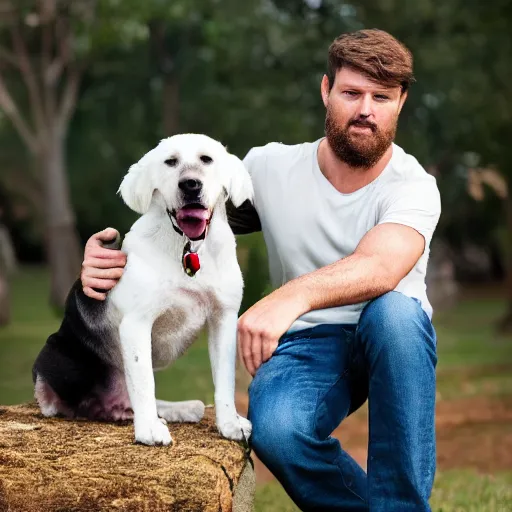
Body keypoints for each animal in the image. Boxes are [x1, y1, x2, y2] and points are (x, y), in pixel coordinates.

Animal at [33, 134, 253, 446]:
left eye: (206, 159)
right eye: (170, 162)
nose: (190, 184)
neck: (188, 246)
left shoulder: (224, 318)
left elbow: (224, 379)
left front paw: (229, 424)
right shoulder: (137, 324)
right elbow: (144, 382)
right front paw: (149, 430)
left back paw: (178, 409)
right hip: (55, 355)